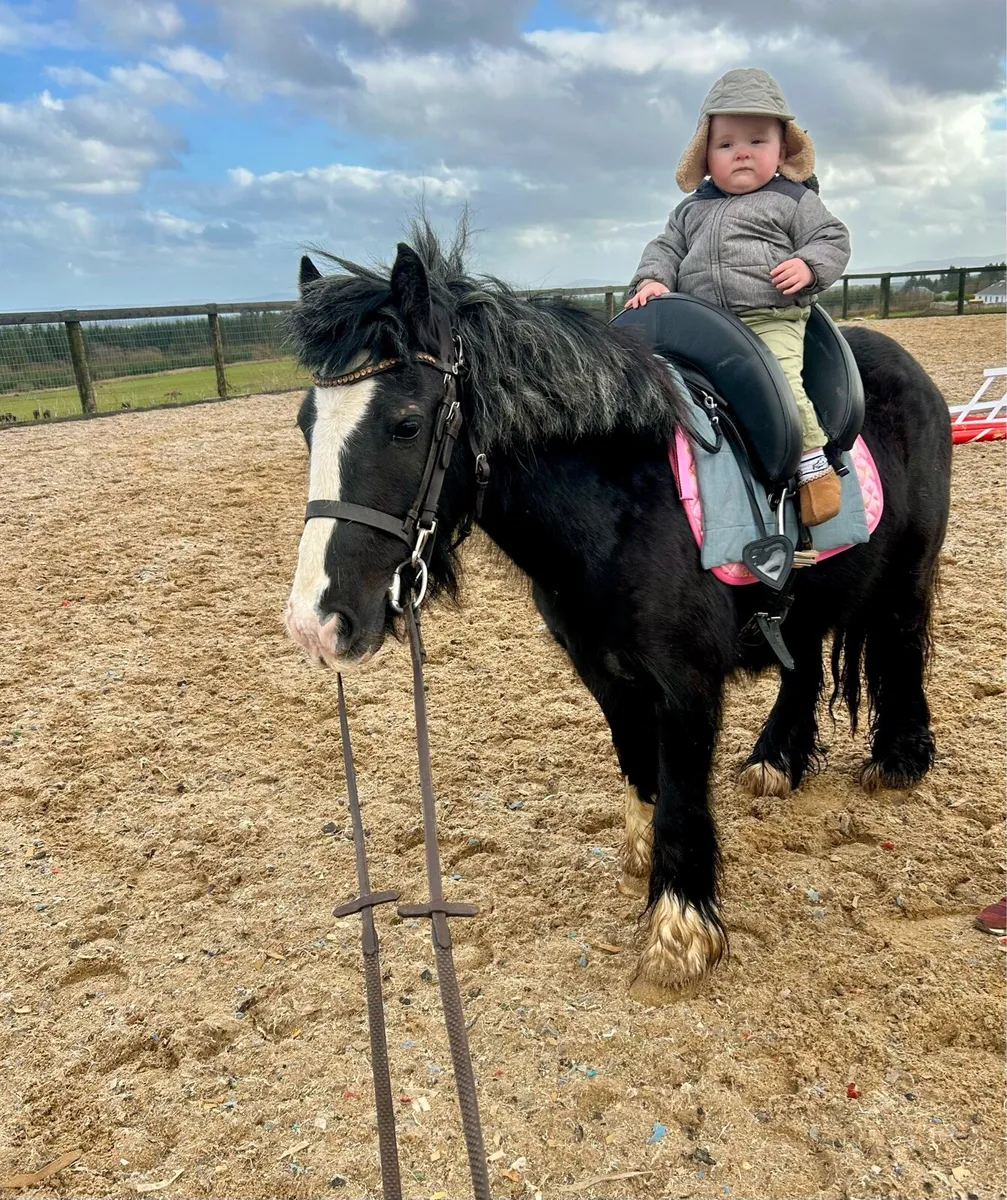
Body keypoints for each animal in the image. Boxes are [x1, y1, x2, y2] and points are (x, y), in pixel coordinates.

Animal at [282, 222, 951, 1003]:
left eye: (406, 424)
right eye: (306, 424)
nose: (315, 623)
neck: (618, 508)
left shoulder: (686, 684)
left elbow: (683, 795)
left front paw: (679, 932)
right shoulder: (605, 672)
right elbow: (640, 767)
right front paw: (643, 855)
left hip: (907, 575)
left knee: (901, 647)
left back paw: (898, 760)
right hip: (807, 596)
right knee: (805, 663)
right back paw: (776, 761)